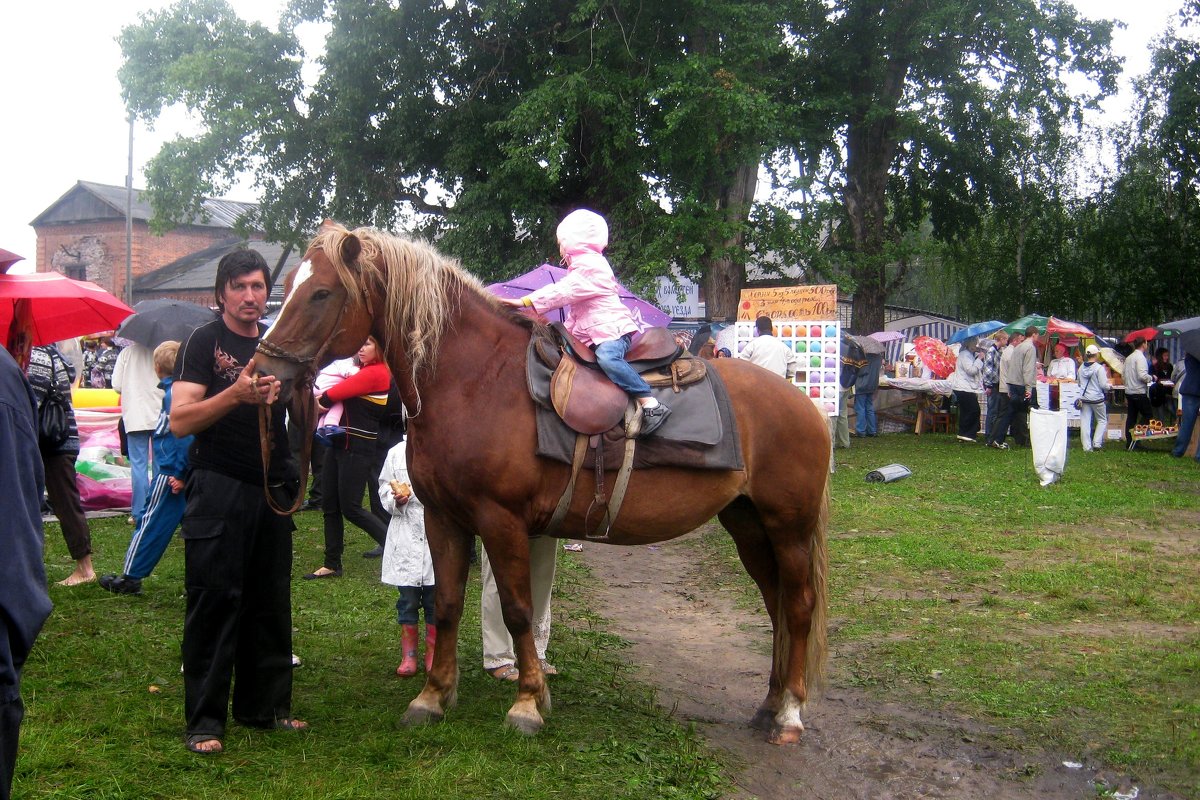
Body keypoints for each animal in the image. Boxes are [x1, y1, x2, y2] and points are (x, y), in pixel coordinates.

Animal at [258, 224, 830, 743]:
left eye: (321, 292)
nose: (265, 372)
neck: (475, 382)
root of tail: (803, 404)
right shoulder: (444, 518)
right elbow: (447, 605)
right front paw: (433, 696)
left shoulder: (501, 522)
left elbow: (517, 611)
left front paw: (528, 703)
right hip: (749, 525)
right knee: (776, 605)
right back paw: (769, 706)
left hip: (789, 527)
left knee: (798, 606)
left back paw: (790, 714)